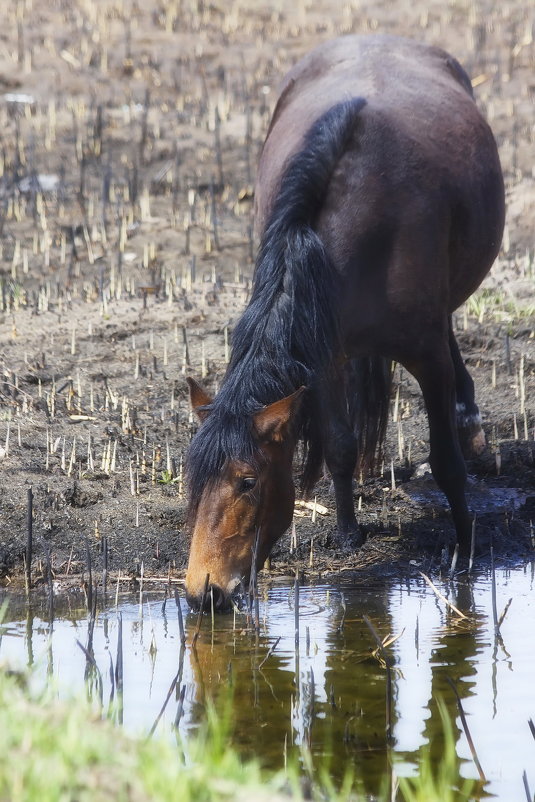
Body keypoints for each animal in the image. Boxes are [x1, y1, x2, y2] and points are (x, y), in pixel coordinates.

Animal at [183, 31, 502, 608]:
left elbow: (447, 462)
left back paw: (472, 429)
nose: (204, 592)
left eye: (247, 482)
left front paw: (464, 551)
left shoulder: (427, 359)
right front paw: (349, 532)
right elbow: (338, 445)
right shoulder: (324, 356)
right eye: (193, 480)